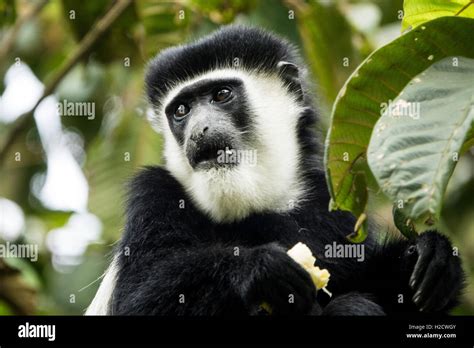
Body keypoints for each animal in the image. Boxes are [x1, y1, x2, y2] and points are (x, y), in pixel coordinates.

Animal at [86, 25, 462, 316]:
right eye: (181, 110)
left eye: (221, 94)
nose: (198, 131)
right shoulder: (153, 195)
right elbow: (138, 300)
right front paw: (260, 268)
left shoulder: (331, 207)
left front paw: (430, 258)